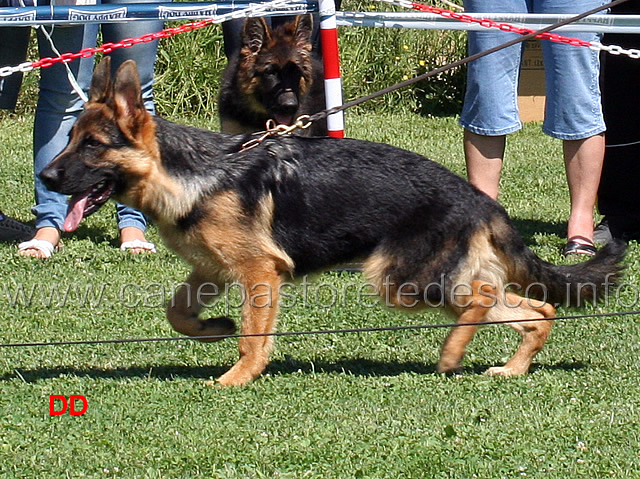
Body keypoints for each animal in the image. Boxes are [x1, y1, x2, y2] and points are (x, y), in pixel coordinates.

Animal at [42, 58, 628, 386]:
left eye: (92, 146)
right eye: (70, 139)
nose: (45, 176)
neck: (191, 173)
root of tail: (480, 200)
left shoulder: (259, 273)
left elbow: (253, 337)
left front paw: (237, 379)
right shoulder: (212, 269)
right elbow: (178, 313)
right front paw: (214, 328)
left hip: (400, 280)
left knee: (485, 300)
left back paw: (451, 354)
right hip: (429, 279)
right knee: (539, 309)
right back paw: (510, 369)